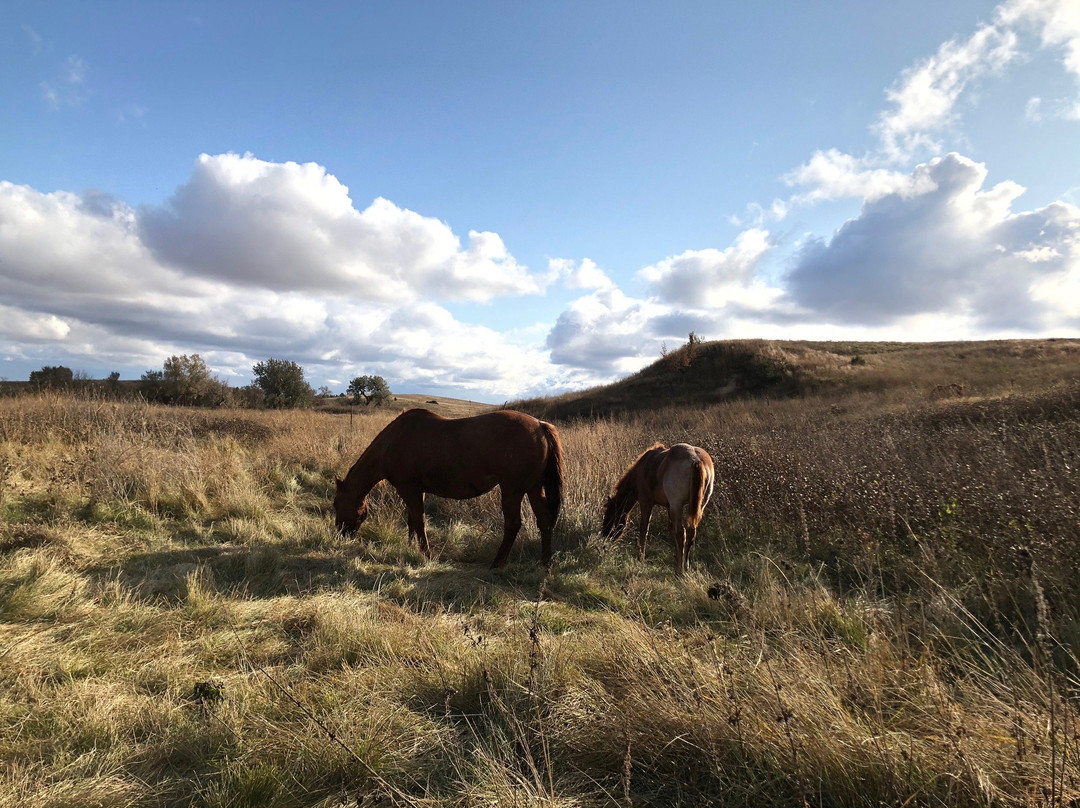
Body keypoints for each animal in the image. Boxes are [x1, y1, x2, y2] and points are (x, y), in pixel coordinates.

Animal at [332, 410, 561, 566]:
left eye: (335, 505)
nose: (340, 534)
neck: (393, 441)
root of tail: (540, 425)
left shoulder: (409, 489)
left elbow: (419, 521)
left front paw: (426, 554)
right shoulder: (418, 490)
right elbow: (412, 520)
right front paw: (410, 547)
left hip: (512, 490)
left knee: (513, 524)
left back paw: (497, 564)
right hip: (533, 488)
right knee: (544, 520)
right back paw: (545, 563)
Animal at [604, 442, 712, 574]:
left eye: (609, 516)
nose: (605, 536)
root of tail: (696, 460)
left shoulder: (646, 503)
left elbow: (644, 529)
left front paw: (641, 557)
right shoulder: (669, 507)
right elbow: (671, 529)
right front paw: (678, 557)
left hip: (677, 504)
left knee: (681, 533)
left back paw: (679, 570)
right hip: (698, 506)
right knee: (691, 531)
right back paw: (685, 566)